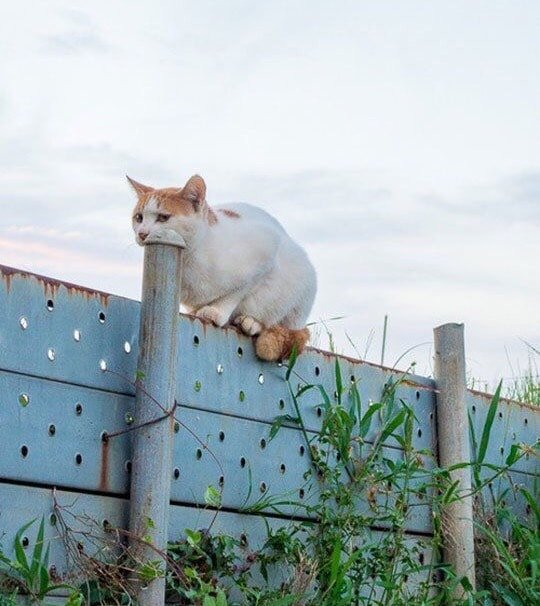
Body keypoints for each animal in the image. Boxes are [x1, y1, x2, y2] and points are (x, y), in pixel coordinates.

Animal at [129, 173, 318, 360]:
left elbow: (236, 293)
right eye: (139, 217)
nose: (142, 233)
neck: (189, 260)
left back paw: (252, 322)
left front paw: (216, 311)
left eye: (163, 217)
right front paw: (197, 311)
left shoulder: (266, 249)